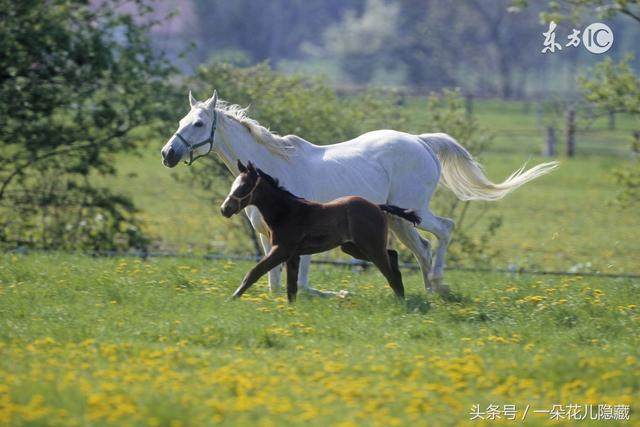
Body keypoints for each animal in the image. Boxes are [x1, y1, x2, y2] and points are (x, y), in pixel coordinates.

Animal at [220, 161, 420, 304]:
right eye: (233, 185)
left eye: (244, 187)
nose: (225, 209)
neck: (286, 212)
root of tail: (377, 206)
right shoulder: (293, 255)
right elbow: (291, 286)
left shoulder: (281, 250)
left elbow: (254, 272)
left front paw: (232, 298)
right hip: (353, 248)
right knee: (392, 255)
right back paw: (401, 297)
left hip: (371, 247)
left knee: (390, 270)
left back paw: (401, 301)